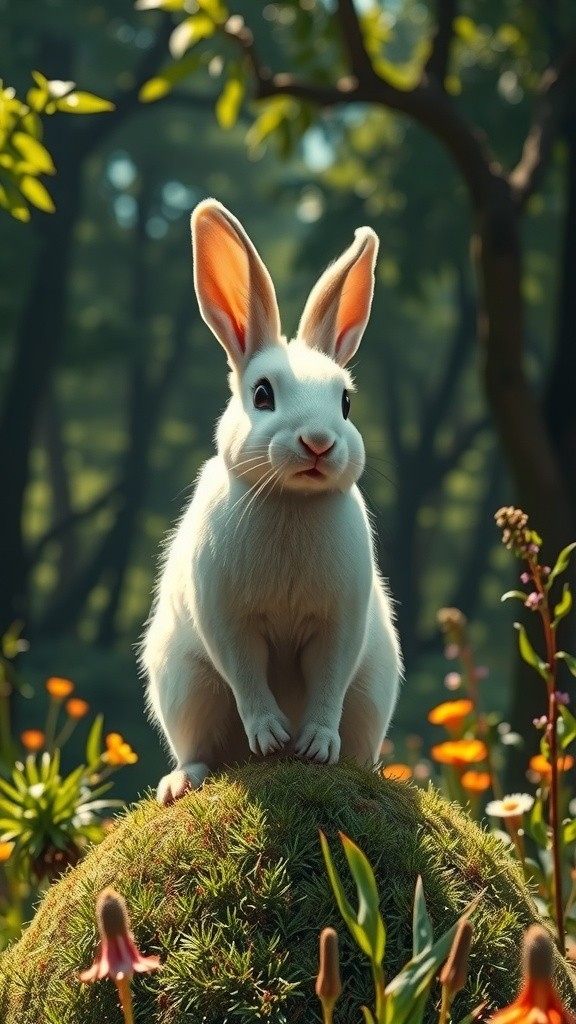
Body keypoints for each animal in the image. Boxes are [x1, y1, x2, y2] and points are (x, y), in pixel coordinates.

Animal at [141, 198, 402, 805]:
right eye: (262, 395)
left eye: (345, 402)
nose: (319, 442)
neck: (290, 499)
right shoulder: (226, 618)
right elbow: (247, 675)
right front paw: (270, 737)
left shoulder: (340, 622)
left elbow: (327, 682)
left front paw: (313, 747)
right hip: (185, 686)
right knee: (200, 750)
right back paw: (179, 783)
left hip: (371, 691)